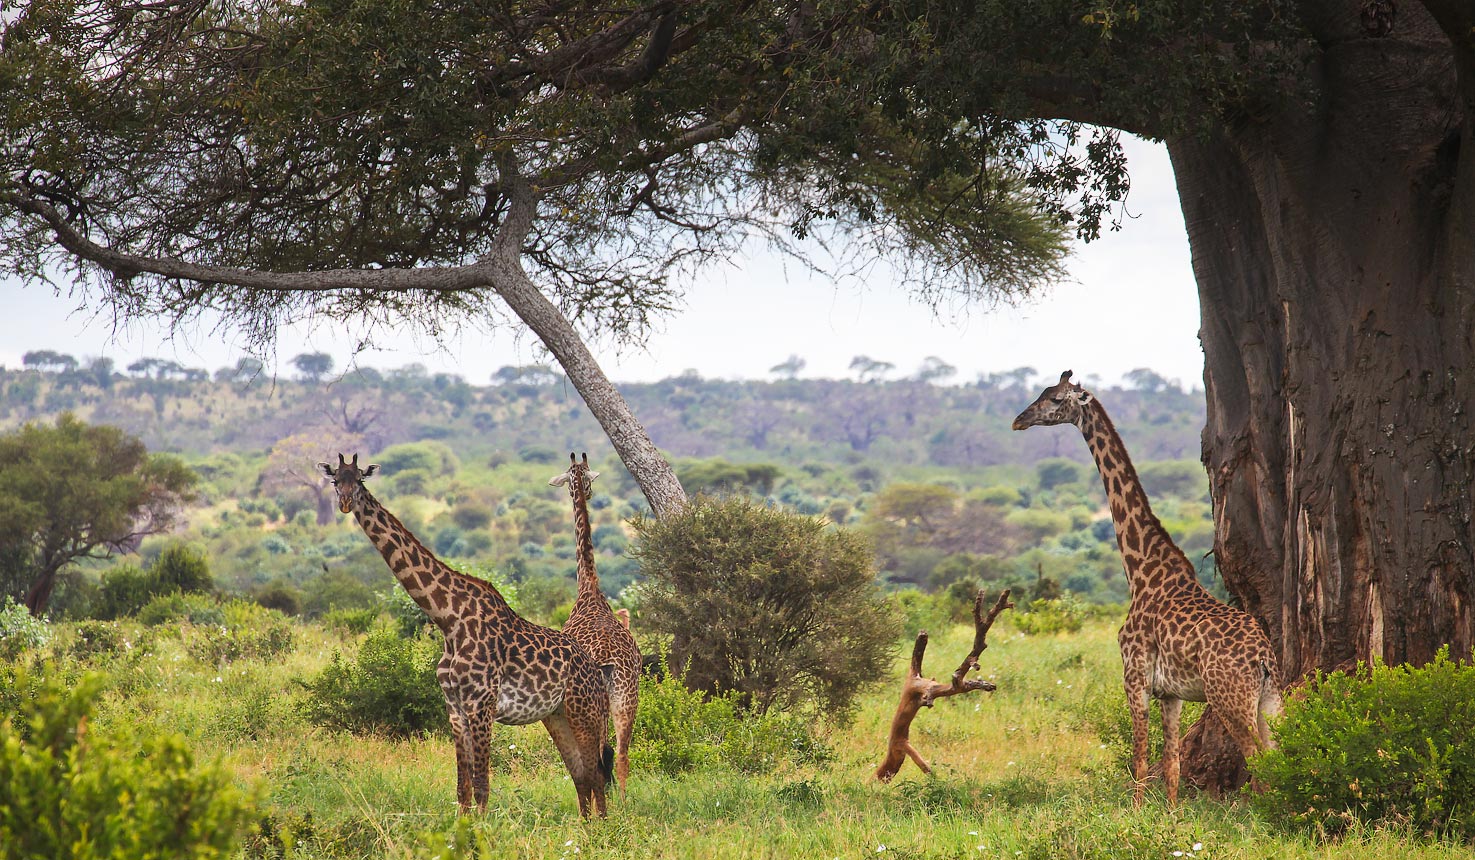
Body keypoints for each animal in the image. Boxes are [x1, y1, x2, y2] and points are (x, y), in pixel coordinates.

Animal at [323, 454, 616, 820]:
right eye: (336, 480)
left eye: (360, 480)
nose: (346, 503)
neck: (448, 619)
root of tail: (598, 672)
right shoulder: (454, 706)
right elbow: (462, 786)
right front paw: (462, 827)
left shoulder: (482, 704)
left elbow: (481, 784)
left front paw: (483, 828)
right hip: (558, 715)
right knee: (581, 774)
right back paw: (585, 826)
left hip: (585, 713)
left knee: (596, 774)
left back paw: (601, 827)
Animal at [551, 454, 643, 796]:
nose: (587, 494)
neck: (589, 586)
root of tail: (609, 662)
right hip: (627, 695)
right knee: (623, 753)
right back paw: (625, 801)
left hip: (595, 702)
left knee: (602, 754)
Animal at [1014, 371, 1280, 808]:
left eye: (1053, 399)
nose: (1018, 420)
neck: (1141, 570)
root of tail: (1262, 657)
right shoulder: (1170, 694)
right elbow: (1171, 765)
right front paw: (1170, 814)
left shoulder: (1133, 677)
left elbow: (1139, 760)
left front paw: (1136, 814)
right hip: (1271, 701)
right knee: (1278, 755)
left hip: (1229, 697)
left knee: (1259, 764)